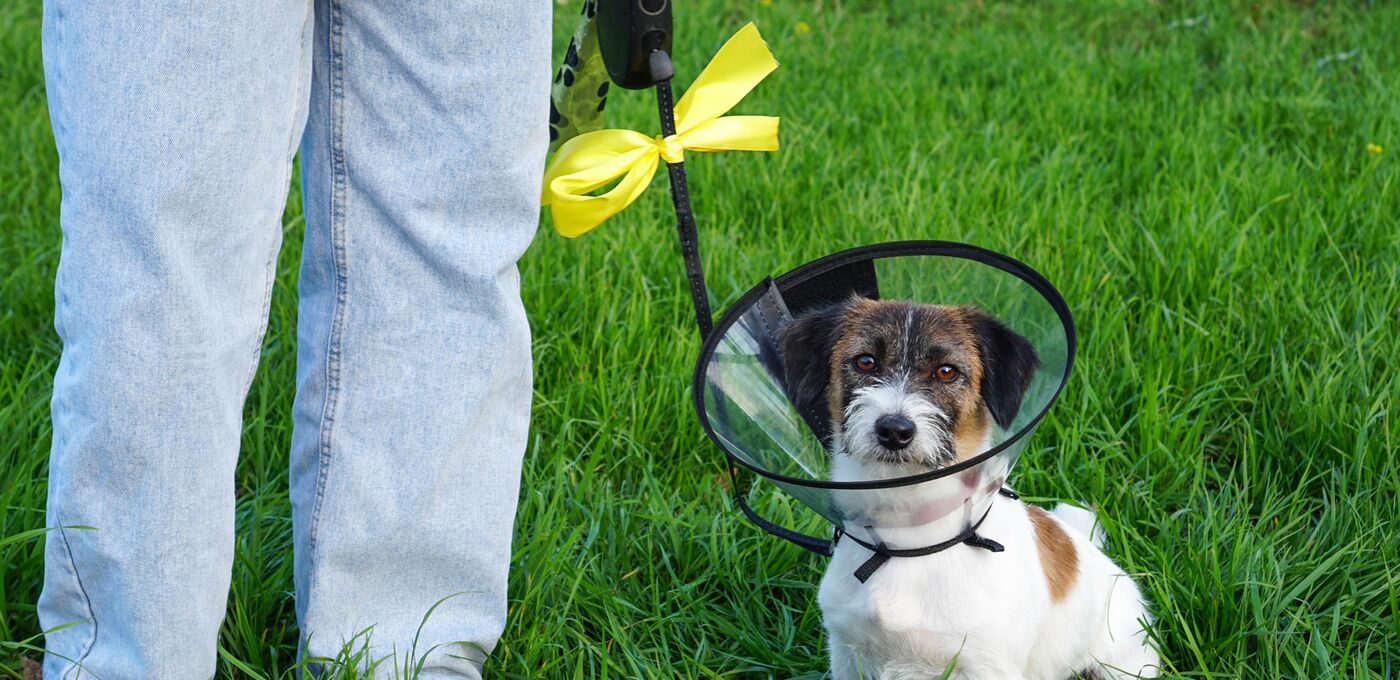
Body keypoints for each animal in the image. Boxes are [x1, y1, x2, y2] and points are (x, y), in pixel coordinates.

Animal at [778, 298, 1159, 680]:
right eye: (865, 361)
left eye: (946, 371)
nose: (894, 430)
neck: (911, 540)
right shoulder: (848, 653)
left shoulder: (985, 665)